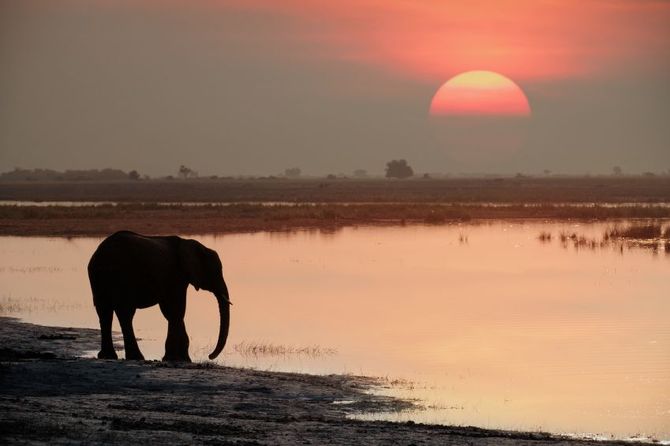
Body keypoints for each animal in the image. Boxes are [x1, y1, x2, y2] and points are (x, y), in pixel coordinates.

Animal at [88, 230, 232, 362]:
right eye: (216, 272)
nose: (210, 356)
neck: (190, 243)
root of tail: (100, 254)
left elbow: (169, 311)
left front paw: (178, 358)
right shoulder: (176, 275)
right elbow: (177, 310)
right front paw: (176, 359)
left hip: (99, 278)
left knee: (104, 312)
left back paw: (108, 356)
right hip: (122, 277)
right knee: (124, 313)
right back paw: (136, 357)